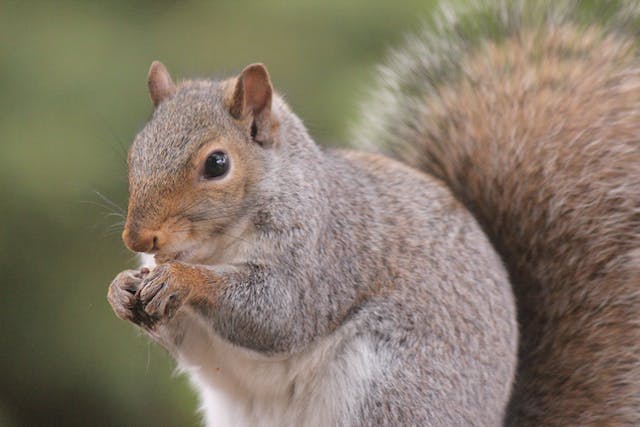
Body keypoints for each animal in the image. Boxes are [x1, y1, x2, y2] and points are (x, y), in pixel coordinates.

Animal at [106, 1, 640, 426]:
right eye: (135, 150)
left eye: (217, 164)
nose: (137, 239)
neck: (214, 246)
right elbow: (189, 340)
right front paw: (120, 289)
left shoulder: (324, 253)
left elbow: (278, 314)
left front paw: (184, 280)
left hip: (393, 392)